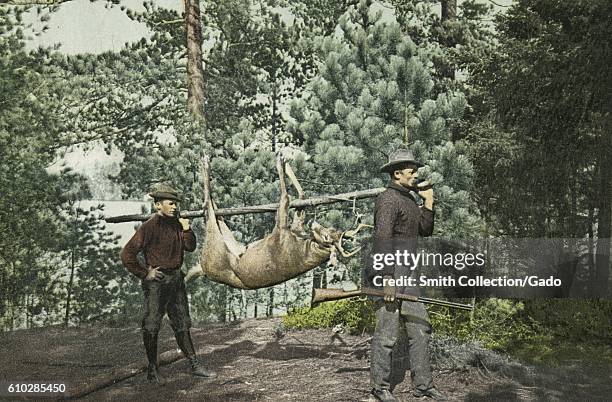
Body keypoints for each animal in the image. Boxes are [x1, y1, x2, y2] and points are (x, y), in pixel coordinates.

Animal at [186, 155, 368, 288]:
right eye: (331, 230)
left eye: (326, 237)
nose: (314, 224)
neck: (305, 246)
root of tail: (204, 270)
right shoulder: (295, 228)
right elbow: (301, 200)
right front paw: (287, 165)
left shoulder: (280, 232)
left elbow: (285, 198)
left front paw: (280, 164)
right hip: (231, 245)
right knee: (218, 215)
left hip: (213, 252)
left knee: (208, 210)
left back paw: (205, 164)